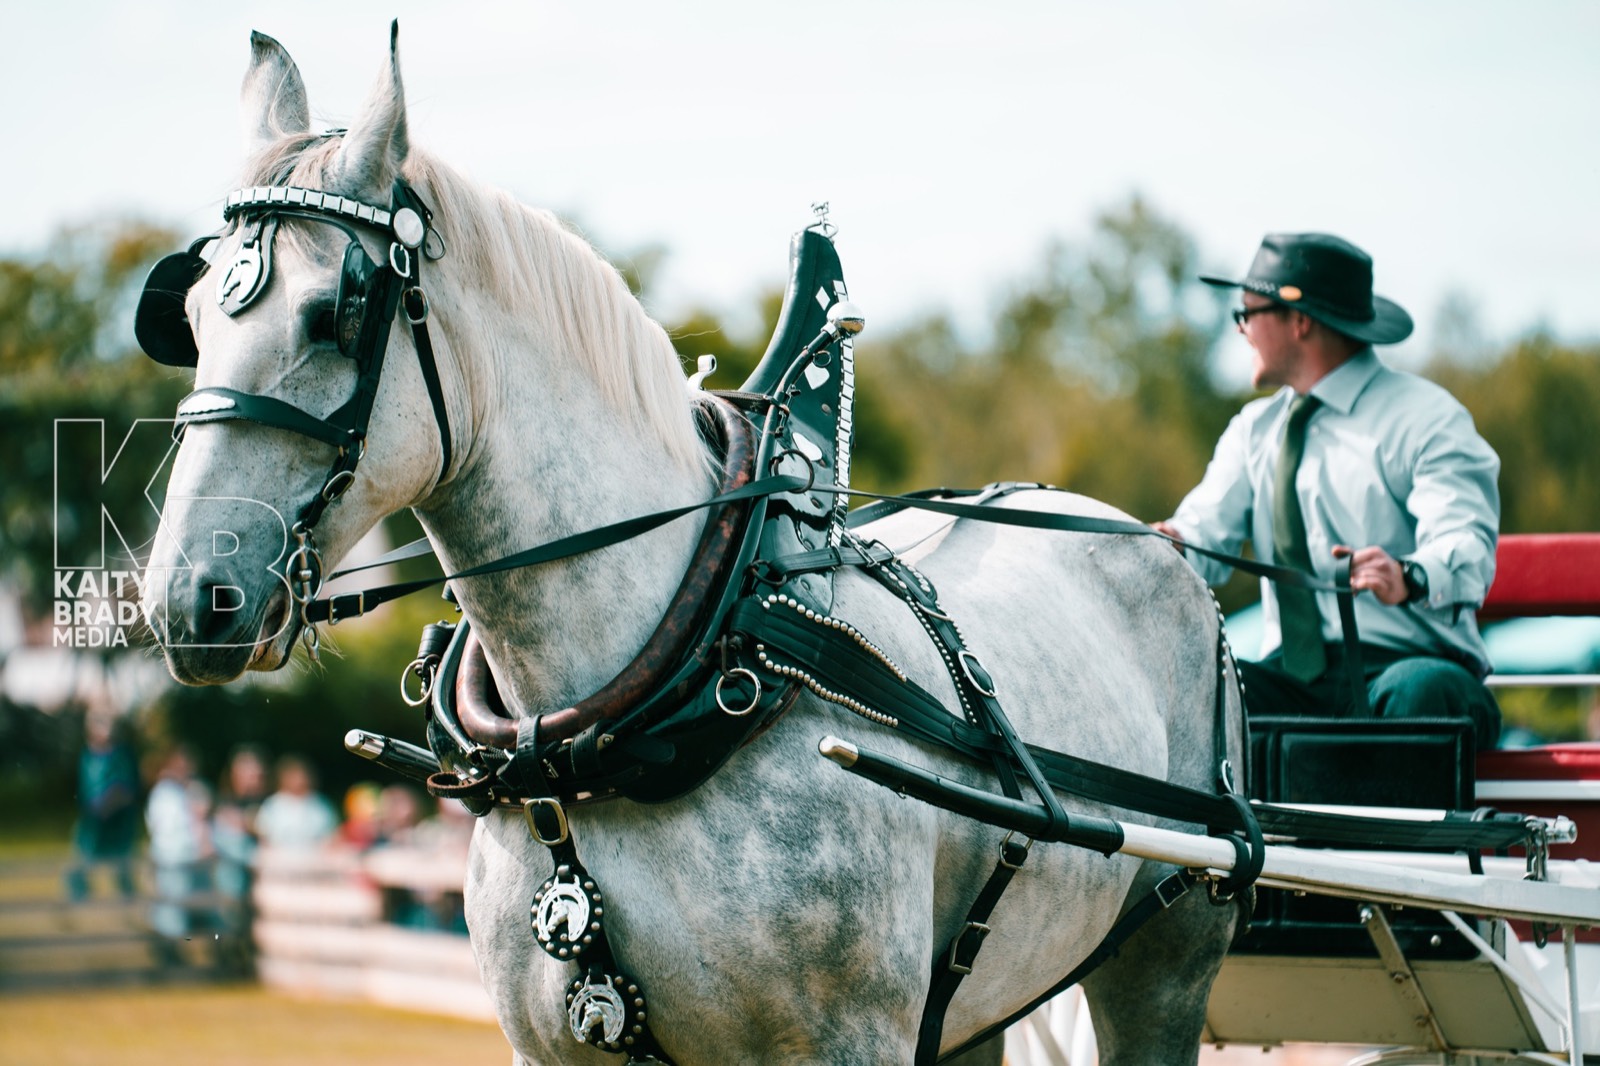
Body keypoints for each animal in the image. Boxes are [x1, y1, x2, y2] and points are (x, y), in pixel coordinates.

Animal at [140, 25, 1243, 1065]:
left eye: (338, 312)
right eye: (190, 316)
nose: (189, 596)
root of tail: (1147, 540)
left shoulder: (850, 1039)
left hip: (1168, 958)